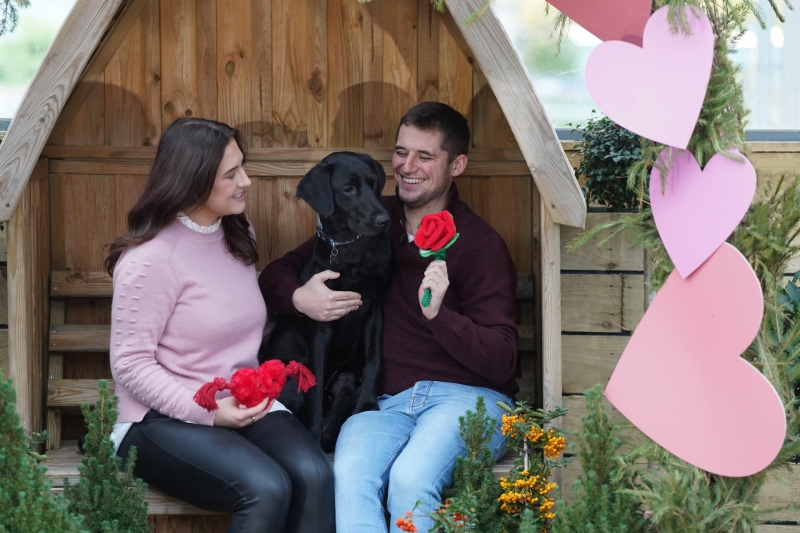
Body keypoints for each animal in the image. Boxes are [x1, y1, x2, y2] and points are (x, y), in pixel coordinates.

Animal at [258, 152, 392, 450]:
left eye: (374, 184)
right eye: (348, 189)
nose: (384, 220)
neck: (348, 251)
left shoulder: (373, 309)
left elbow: (374, 361)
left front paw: (367, 404)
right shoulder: (322, 324)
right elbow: (315, 387)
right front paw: (313, 431)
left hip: (345, 378)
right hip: (292, 379)